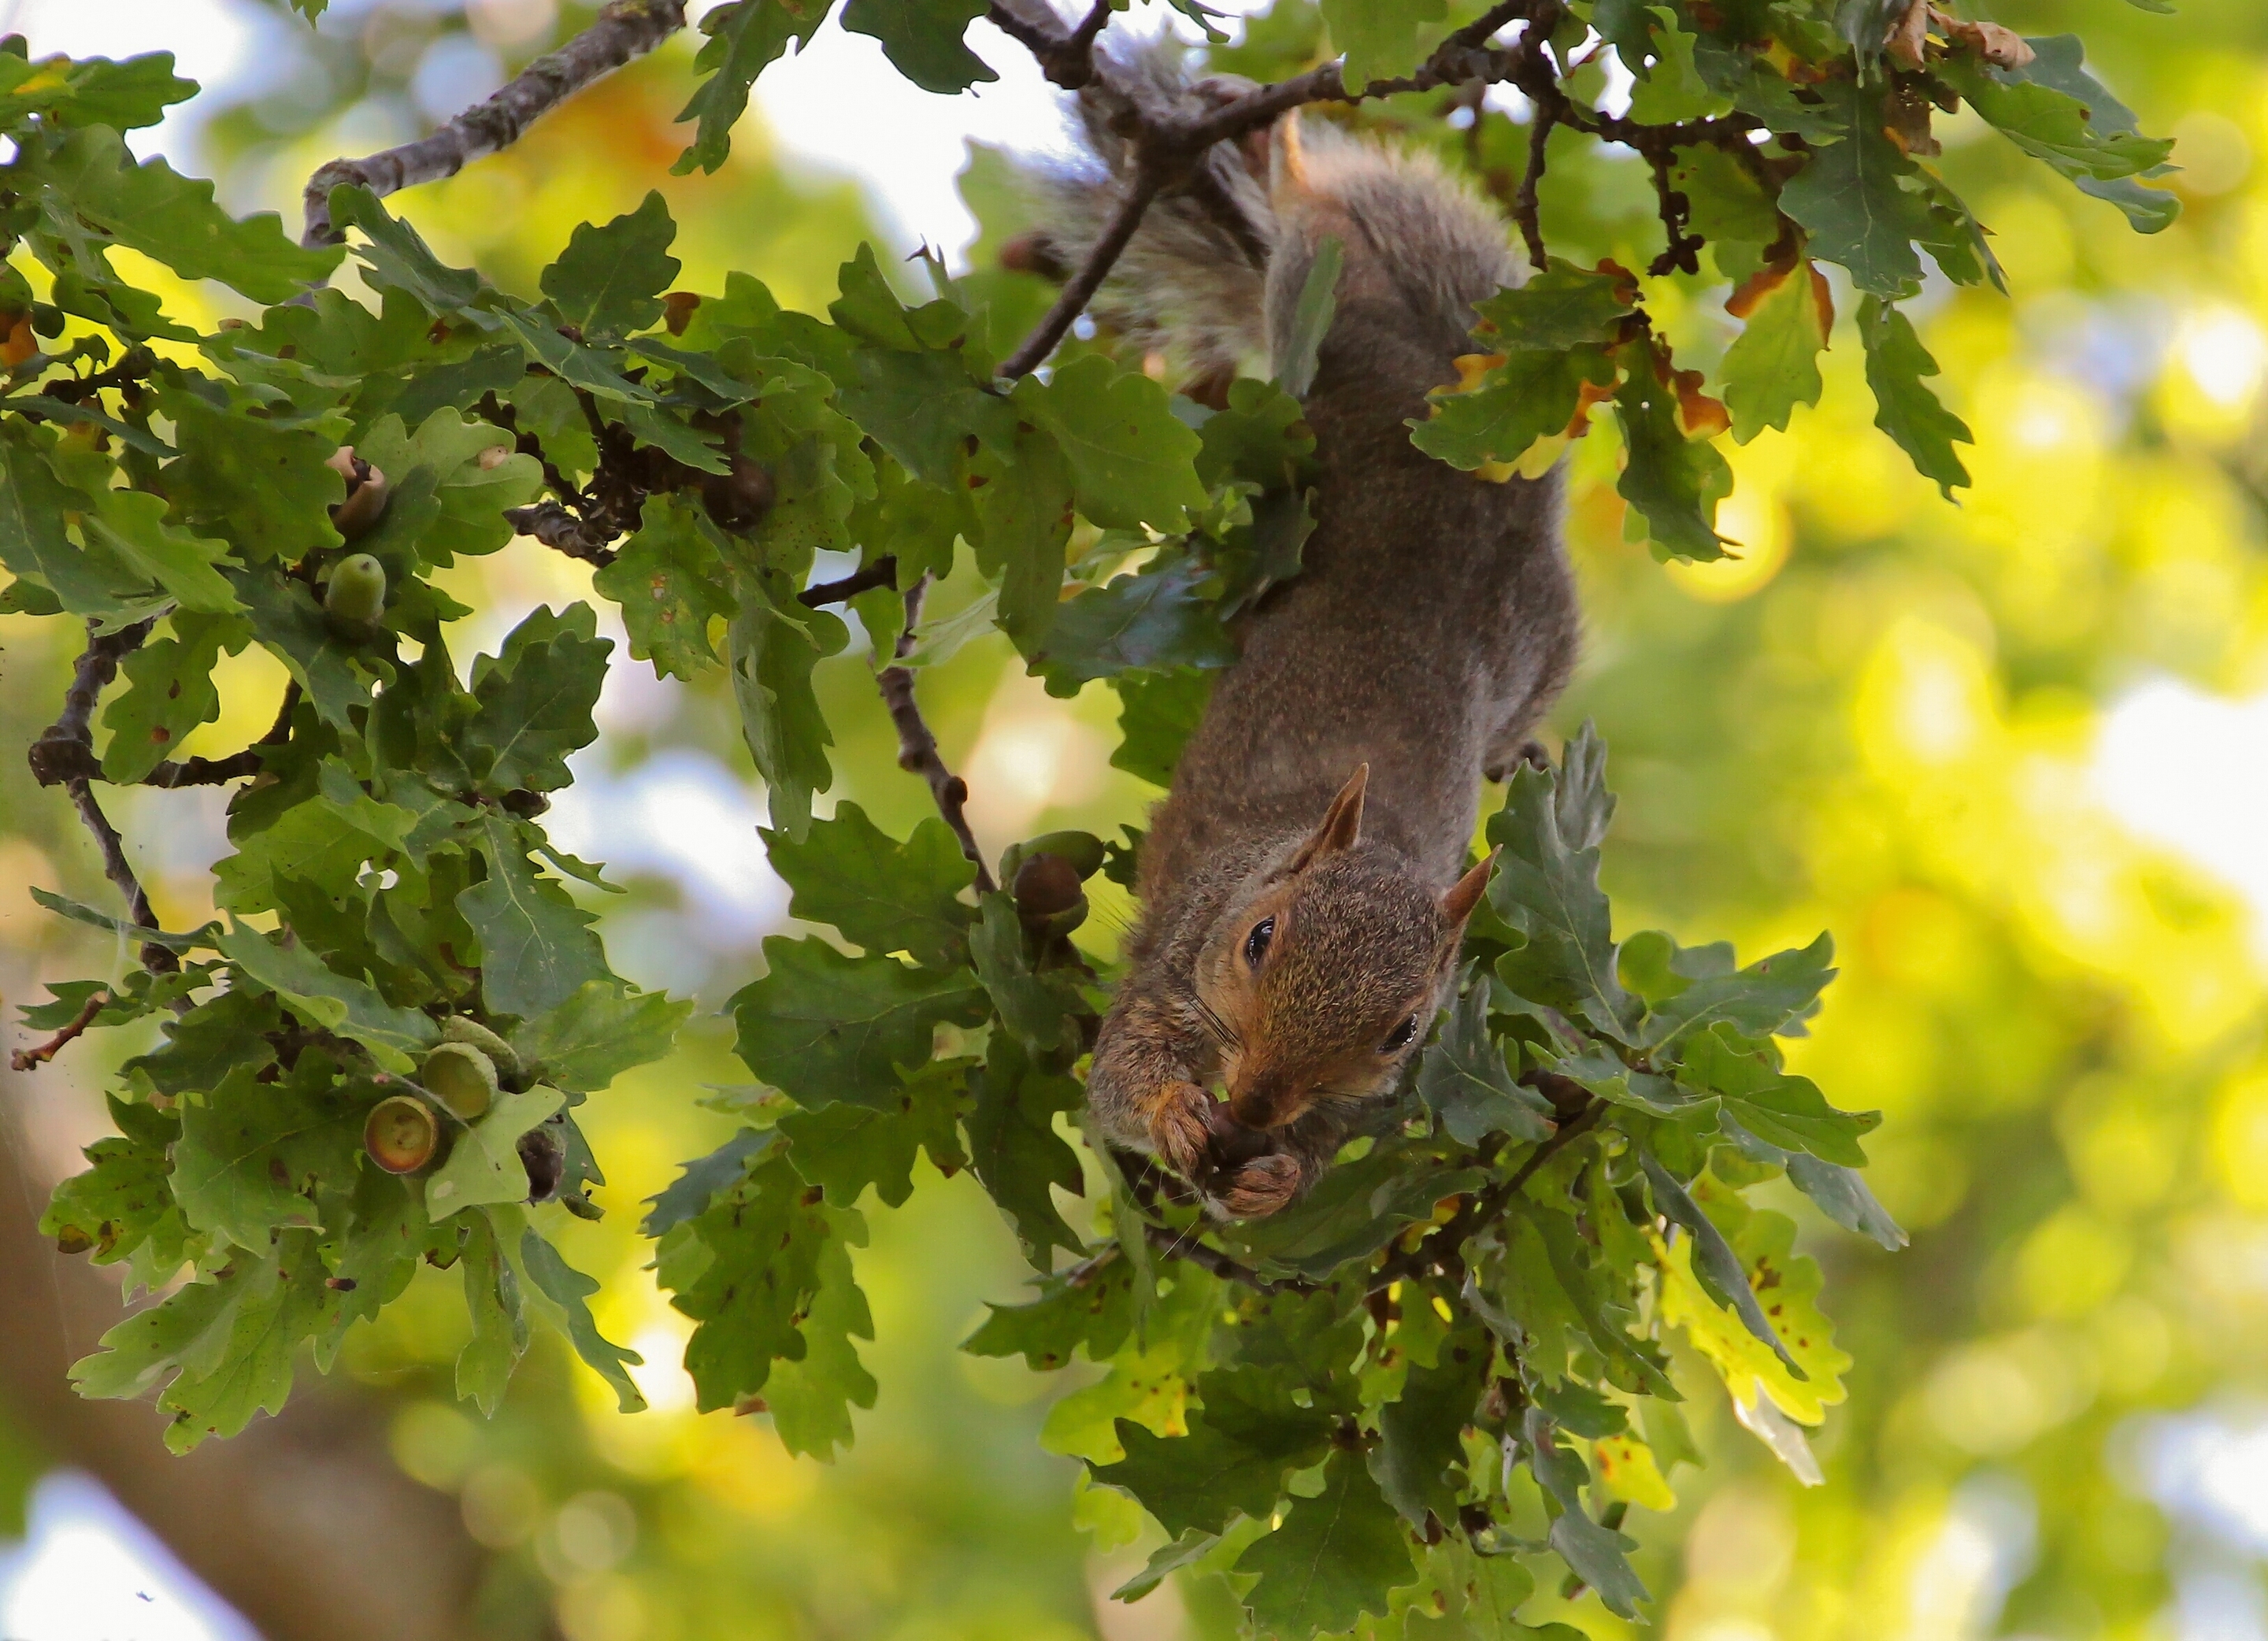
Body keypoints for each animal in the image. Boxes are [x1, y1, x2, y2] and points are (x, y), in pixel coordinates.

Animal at [1029, 35, 1578, 1214]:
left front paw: (1276, 1176)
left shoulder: (1361, 1103)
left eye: (1405, 1031)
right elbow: (1120, 1074)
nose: (1256, 1103)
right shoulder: (1170, 960)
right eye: (1259, 939)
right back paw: (1272, 141)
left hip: (1542, 638)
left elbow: (1326, 1146)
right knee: (1312, 219)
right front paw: (1175, 1113)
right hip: (1321, 317)